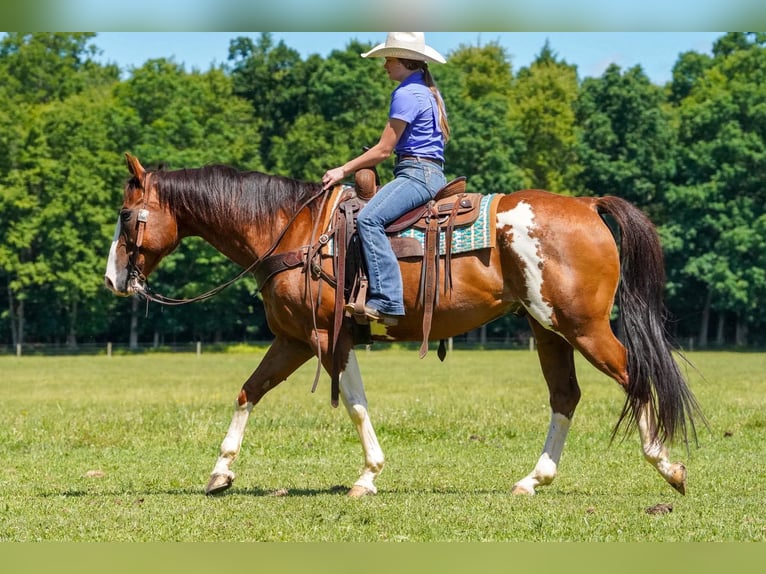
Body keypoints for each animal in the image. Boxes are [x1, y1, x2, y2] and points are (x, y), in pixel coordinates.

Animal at [104, 153, 703, 497]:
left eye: (127, 215)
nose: (113, 278)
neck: (292, 231)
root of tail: (587, 204)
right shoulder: (293, 339)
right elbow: (248, 391)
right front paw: (220, 473)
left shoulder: (327, 338)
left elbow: (354, 404)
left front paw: (368, 475)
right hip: (547, 329)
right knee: (566, 396)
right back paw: (534, 480)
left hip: (582, 326)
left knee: (634, 376)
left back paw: (668, 468)